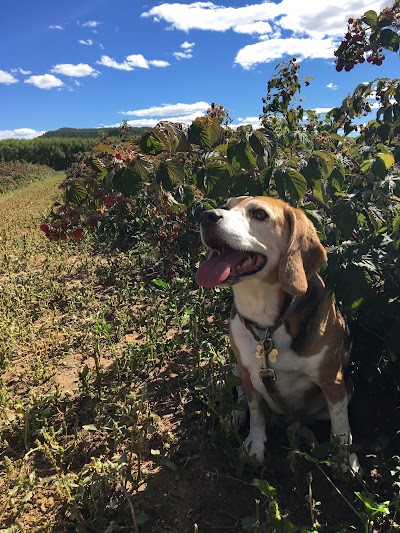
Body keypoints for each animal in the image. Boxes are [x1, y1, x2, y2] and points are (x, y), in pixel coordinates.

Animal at [195, 196, 360, 474]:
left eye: (259, 214)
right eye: (226, 206)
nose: (206, 215)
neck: (267, 327)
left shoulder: (333, 380)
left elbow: (340, 425)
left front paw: (343, 459)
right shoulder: (249, 371)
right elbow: (256, 411)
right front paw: (255, 445)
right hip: (236, 366)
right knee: (242, 395)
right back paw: (235, 415)